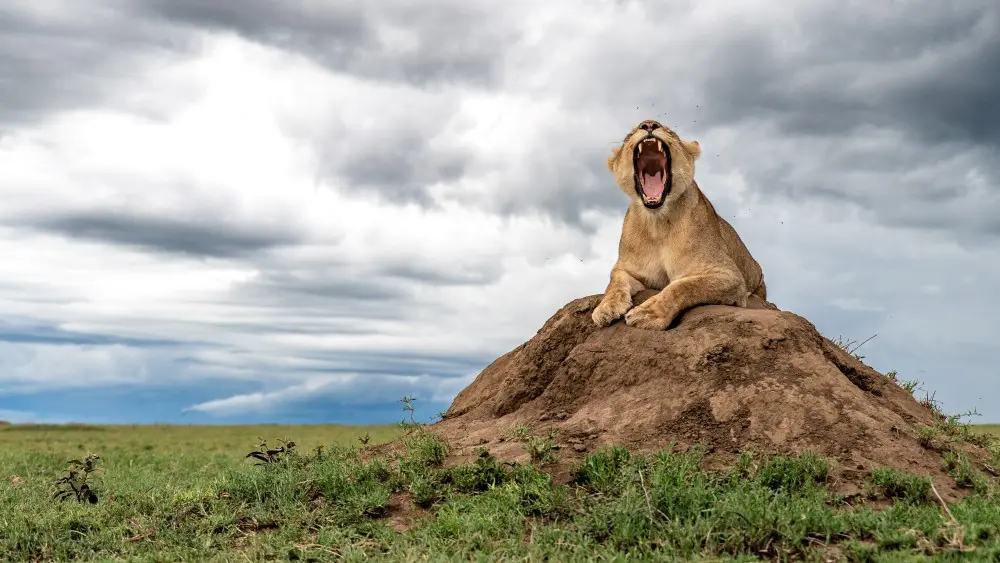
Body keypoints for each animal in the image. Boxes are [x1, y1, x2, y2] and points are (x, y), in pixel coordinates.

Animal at [592, 119, 768, 330]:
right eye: (630, 134)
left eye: (671, 132)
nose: (649, 123)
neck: (657, 222)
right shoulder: (628, 269)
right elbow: (614, 281)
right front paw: (605, 308)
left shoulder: (729, 275)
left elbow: (682, 286)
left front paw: (648, 313)